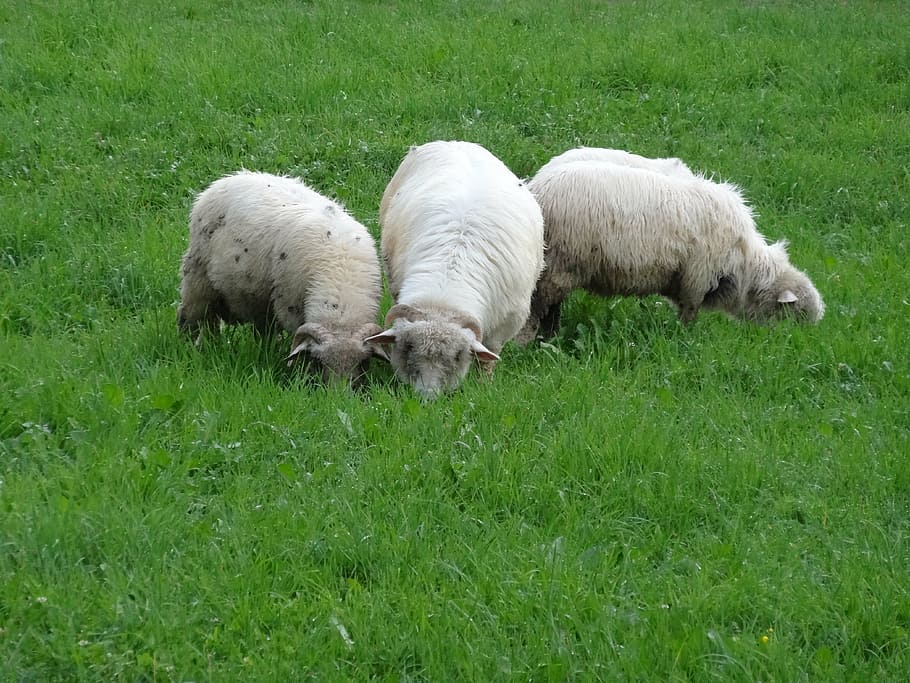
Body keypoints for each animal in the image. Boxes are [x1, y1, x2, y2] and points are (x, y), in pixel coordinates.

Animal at [177, 170, 387, 383]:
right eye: (319, 362)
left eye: (363, 363)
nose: (339, 391)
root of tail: (231, 177)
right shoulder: (291, 308)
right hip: (198, 278)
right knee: (191, 318)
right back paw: (189, 349)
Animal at [365, 140, 545, 399]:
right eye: (408, 348)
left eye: (458, 355)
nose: (427, 397)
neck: (446, 287)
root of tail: (455, 142)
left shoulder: (505, 326)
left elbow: (487, 360)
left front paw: (484, 386)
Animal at [519, 159, 824, 341]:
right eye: (797, 316)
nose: (801, 344)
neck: (746, 265)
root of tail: (538, 189)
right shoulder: (697, 278)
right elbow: (689, 314)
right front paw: (685, 339)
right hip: (563, 262)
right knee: (538, 306)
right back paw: (530, 340)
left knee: (552, 306)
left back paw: (550, 337)